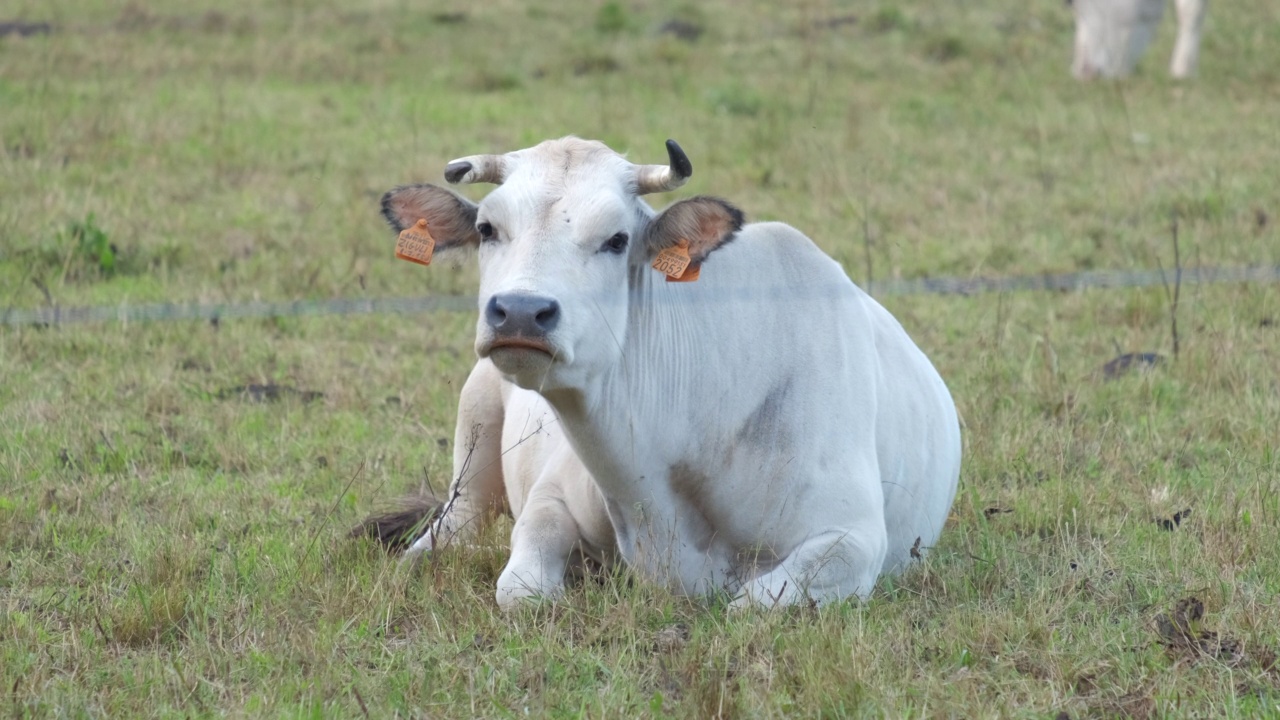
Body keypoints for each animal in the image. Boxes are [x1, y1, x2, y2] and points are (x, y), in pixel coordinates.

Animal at [371, 135, 962, 604]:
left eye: (617, 240)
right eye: (488, 228)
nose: (519, 311)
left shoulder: (852, 537)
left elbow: (750, 604)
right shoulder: (551, 493)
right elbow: (521, 589)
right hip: (475, 418)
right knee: (459, 520)